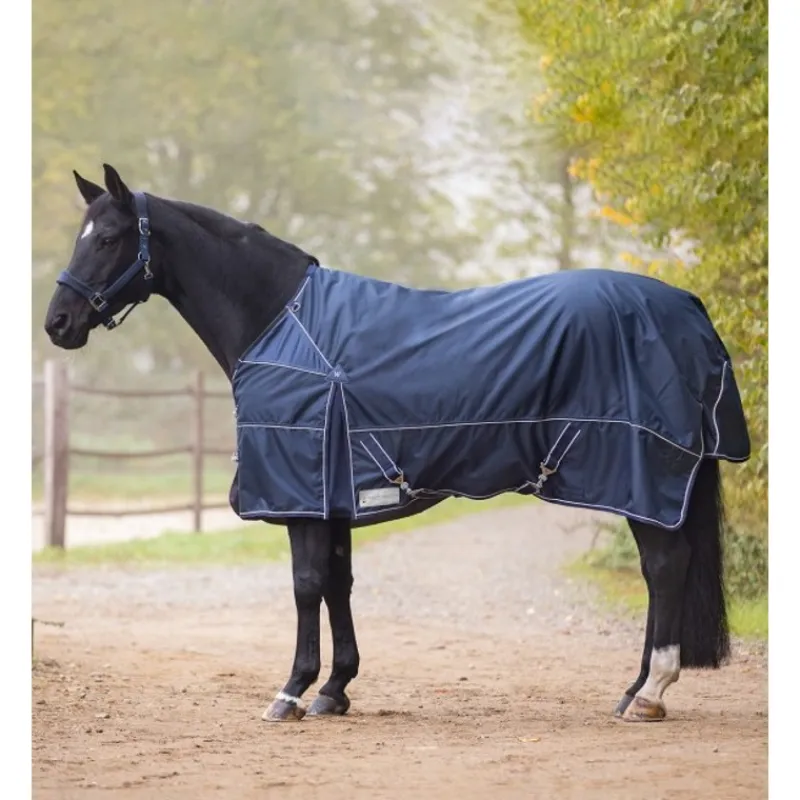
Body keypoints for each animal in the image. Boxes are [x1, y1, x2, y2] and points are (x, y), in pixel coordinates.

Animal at [44, 164, 751, 723]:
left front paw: (291, 692)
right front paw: (334, 690)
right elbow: (338, 583)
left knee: (664, 569)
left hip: (641, 475)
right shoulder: (334, 495)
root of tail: (687, 306)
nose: (58, 323)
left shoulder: (303, 492)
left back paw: (649, 693)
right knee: (661, 573)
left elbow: (305, 585)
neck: (278, 320)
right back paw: (633, 689)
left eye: (108, 238)